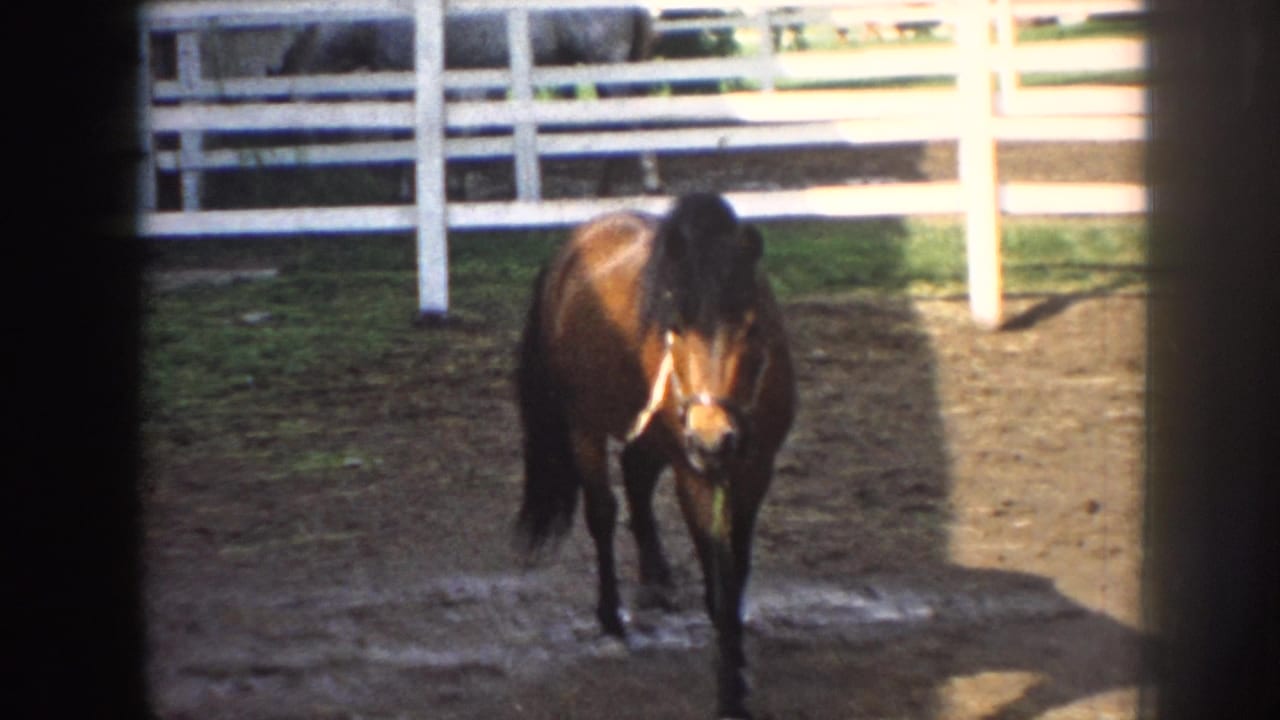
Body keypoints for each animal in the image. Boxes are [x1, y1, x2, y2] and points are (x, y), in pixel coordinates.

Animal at [514, 193, 796, 719]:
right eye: (676, 328)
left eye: (751, 327)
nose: (712, 439)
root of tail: (574, 245)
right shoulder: (694, 475)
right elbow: (718, 571)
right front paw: (730, 689)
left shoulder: (755, 470)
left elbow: (738, 567)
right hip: (585, 426)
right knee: (602, 512)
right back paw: (611, 616)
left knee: (637, 478)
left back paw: (656, 578)